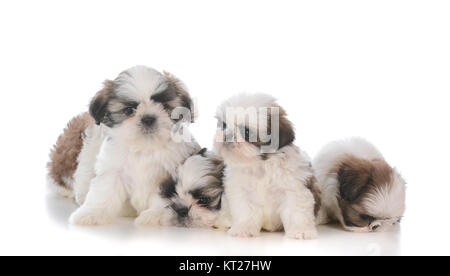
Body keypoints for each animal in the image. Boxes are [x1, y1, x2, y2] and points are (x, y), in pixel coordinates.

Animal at [47, 66, 199, 225]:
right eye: (129, 110)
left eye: (164, 106)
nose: (148, 118)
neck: (145, 147)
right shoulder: (113, 170)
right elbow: (104, 191)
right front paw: (91, 213)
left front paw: (155, 215)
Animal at [213, 93, 318, 239]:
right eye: (223, 125)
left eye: (246, 132)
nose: (226, 135)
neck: (260, 164)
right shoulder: (242, 192)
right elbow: (245, 211)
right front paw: (243, 229)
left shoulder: (293, 189)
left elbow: (296, 212)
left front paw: (301, 231)